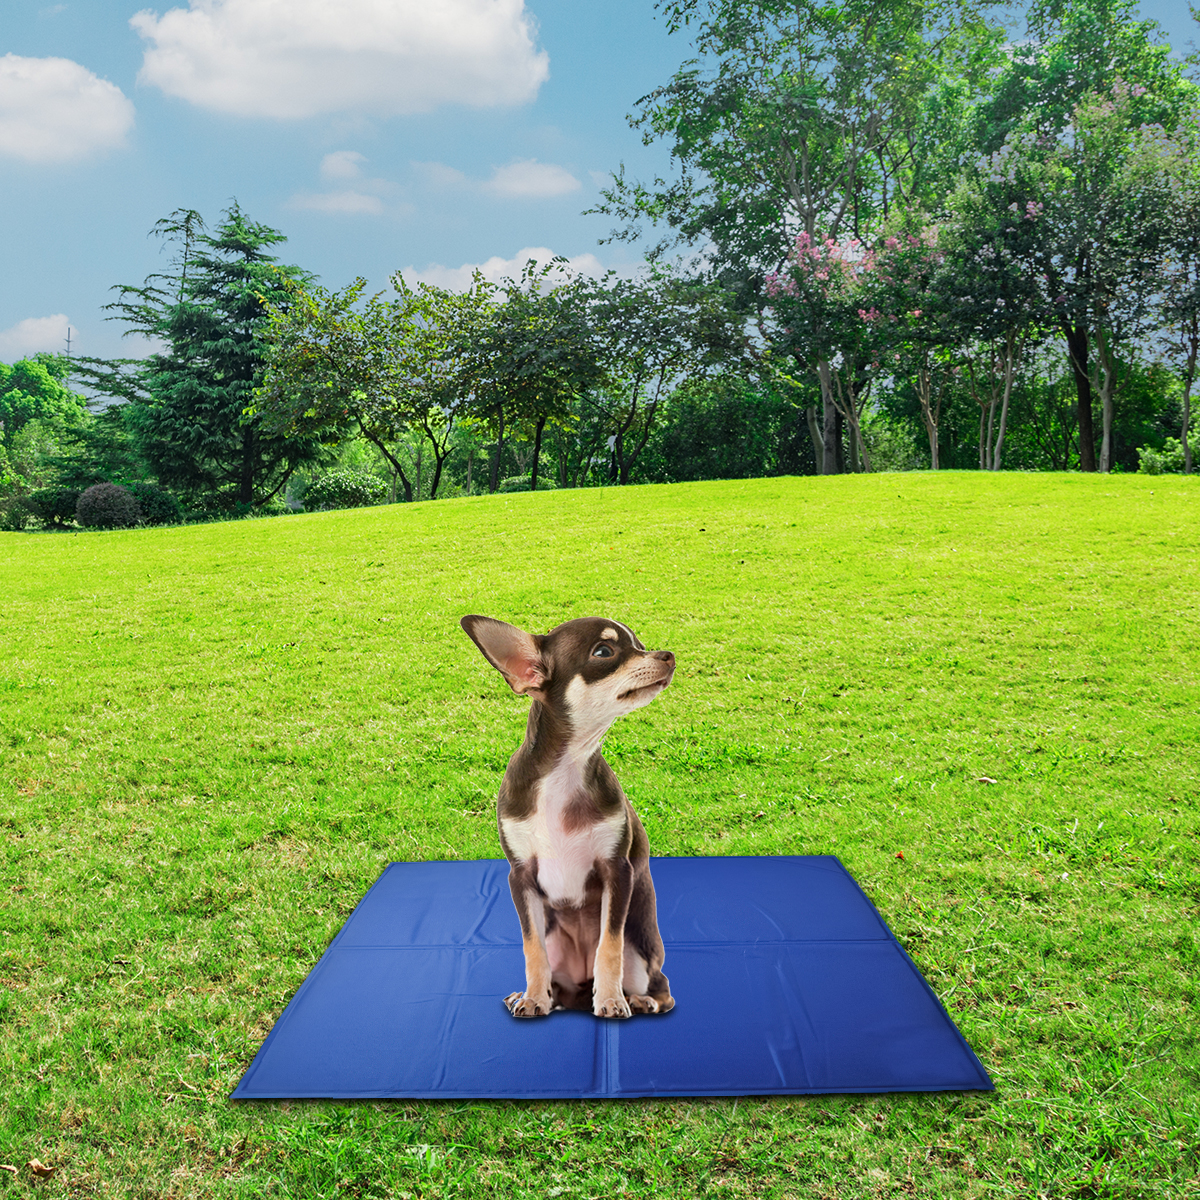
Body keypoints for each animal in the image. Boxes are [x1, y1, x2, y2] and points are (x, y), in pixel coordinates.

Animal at [460, 619, 676, 1022]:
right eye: (604, 652)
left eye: (640, 645)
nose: (667, 655)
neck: (567, 769)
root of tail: (577, 994)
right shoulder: (521, 876)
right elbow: (532, 949)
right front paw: (534, 998)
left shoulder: (616, 871)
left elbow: (608, 947)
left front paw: (611, 1001)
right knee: (554, 974)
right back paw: (536, 995)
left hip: (640, 952)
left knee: (659, 986)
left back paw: (640, 1000)